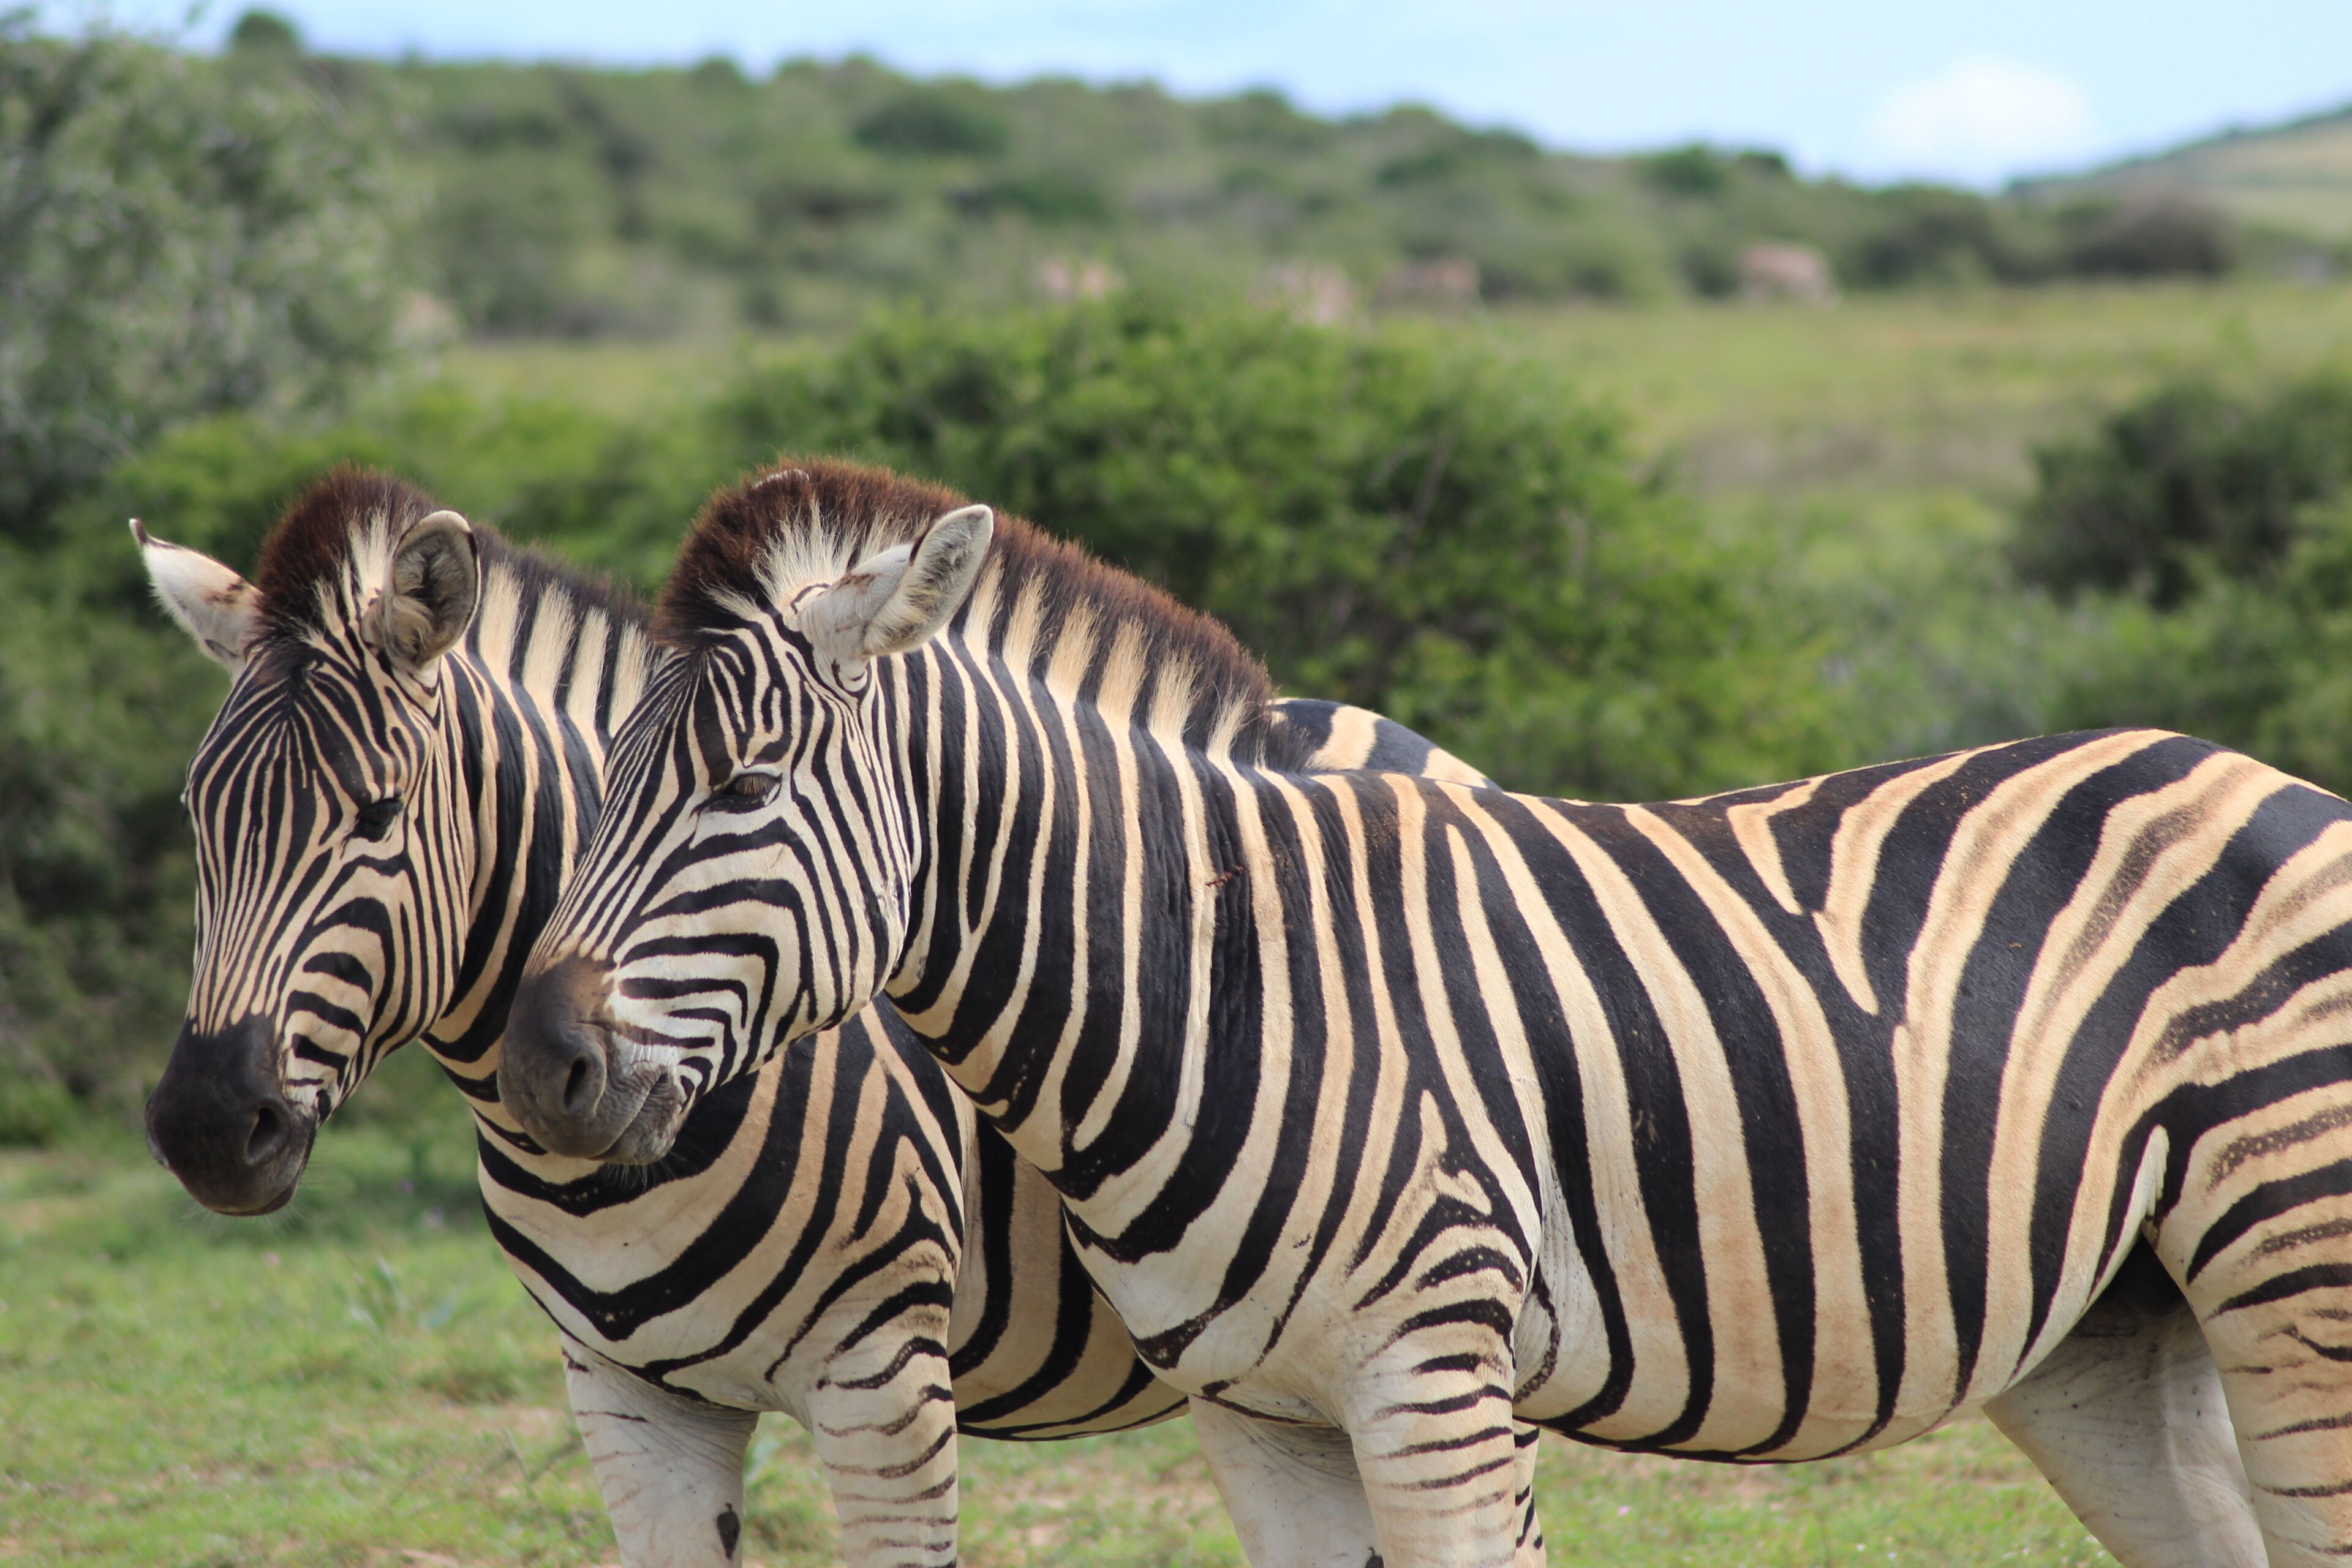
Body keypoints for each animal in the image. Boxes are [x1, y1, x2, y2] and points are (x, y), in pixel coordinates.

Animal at [503, 456, 2352, 1568]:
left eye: (743, 788)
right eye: (596, 779)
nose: (541, 1063)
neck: (1217, 985)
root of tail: (2256, 772)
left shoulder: (1438, 1381)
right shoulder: (1263, 1417)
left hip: (2293, 1275)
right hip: (2117, 1322)